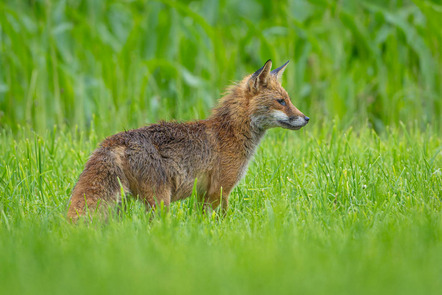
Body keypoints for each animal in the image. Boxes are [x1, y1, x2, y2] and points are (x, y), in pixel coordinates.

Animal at [68, 60, 308, 222]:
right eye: (281, 101)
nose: (306, 118)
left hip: (123, 203)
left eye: (288, 100)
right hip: (159, 202)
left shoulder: (203, 194)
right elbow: (222, 220)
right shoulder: (221, 189)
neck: (229, 133)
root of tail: (114, 141)